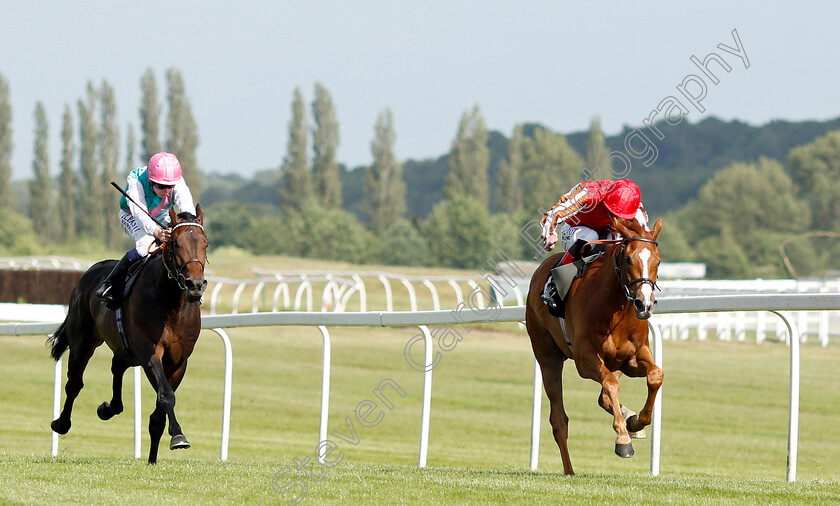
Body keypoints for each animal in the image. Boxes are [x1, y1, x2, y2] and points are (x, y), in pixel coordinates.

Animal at [48, 205, 208, 462]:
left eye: (205, 243)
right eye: (175, 243)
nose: (195, 285)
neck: (171, 304)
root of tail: (90, 271)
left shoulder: (179, 361)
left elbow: (158, 414)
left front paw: (153, 459)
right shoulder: (149, 351)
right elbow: (166, 394)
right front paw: (178, 436)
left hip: (124, 347)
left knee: (116, 368)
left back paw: (108, 408)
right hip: (83, 340)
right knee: (74, 382)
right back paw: (61, 423)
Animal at [524, 216, 664, 474]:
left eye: (657, 260)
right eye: (628, 259)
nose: (644, 304)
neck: (616, 307)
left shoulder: (632, 357)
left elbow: (655, 375)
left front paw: (636, 421)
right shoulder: (585, 358)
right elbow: (610, 384)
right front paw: (623, 440)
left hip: (615, 362)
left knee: (604, 398)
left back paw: (630, 419)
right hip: (547, 356)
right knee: (559, 419)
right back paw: (569, 470)